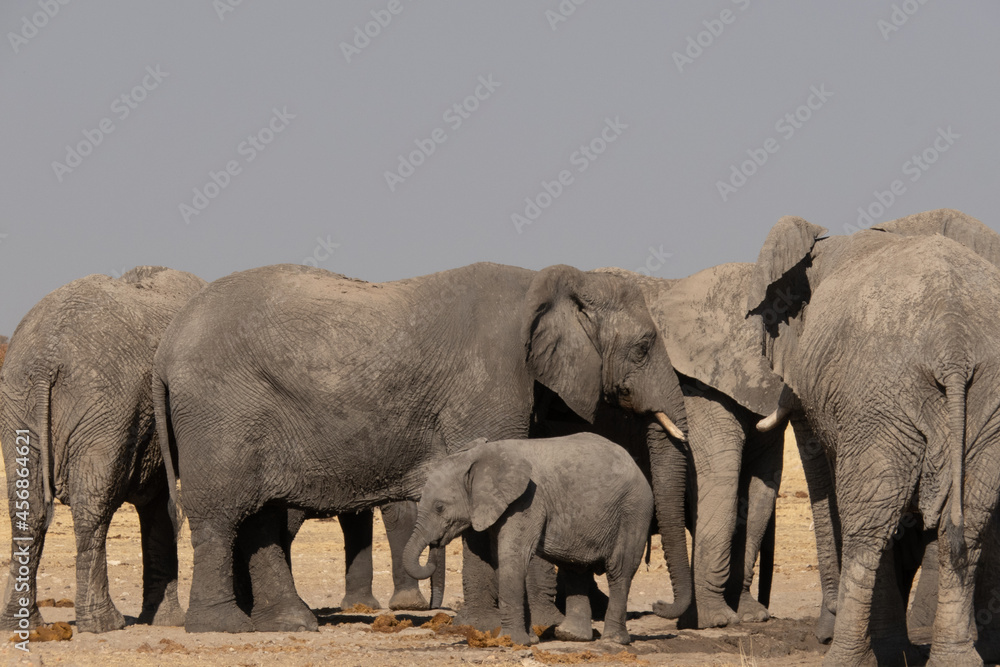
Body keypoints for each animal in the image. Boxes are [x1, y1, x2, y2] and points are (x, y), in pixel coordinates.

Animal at [0, 266, 205, 633]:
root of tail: (44, 360)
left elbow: (158, 507)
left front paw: (165, 621)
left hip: (20, 399)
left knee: (27, 505)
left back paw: (22, 623)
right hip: (103, 403)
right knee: (92, 503)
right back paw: (105, 623)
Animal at [404, 434, 653, 645]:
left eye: (440, 507)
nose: (435, 544)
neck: (480, 456)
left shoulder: (527, 501)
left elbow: (512, 558)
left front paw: (510, 642)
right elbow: (503, 560)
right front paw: (529, 640)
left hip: (633, 511)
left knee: (619, 571)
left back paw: (612, 641)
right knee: (576, 569)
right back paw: (571, 636)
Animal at [749, 214, 1000, 666]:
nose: (821, 630)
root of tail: (953, 344)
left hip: (881, 399)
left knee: (867, 528)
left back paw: (845, 658)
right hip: (984, 402)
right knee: (968, 525)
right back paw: (956, 659)